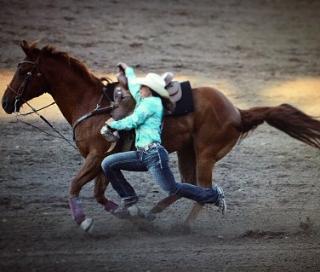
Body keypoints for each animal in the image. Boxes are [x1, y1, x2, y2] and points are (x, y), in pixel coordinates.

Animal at [2, 41, 320, 232]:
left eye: (24, 70)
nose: (6, 103)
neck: (92, 104)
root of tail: (238, 112)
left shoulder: (95, 156)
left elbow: (75, 186)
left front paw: (84, 221)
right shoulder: (101, 160)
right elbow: (99, 192)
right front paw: (129, 213)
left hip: (206, 154)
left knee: (201, 189)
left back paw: (185, 224)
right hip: (187, 152)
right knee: (184, 186)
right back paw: (153, 213)